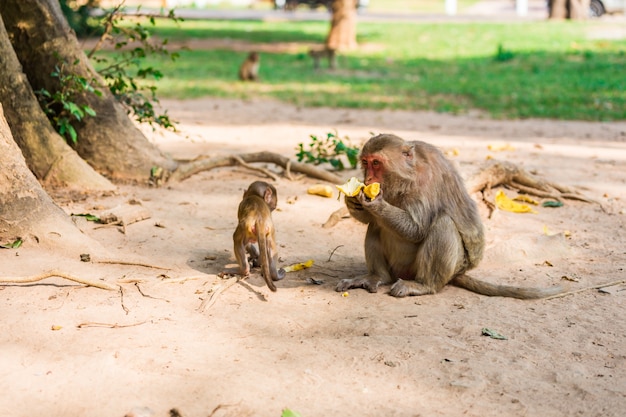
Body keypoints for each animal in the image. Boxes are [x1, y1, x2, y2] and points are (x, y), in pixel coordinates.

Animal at [338, 134, 564, 300]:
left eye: (376, 163)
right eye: (365, 162)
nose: (368, 178)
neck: (405, 177)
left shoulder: (426, 180)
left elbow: (416, 229)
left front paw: (375, 203)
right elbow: (371, 220)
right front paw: (352, 202)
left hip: (446, 267)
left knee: (443, 224)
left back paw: (424, 285)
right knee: (377, 226)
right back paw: (378, 276)